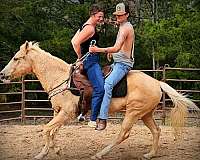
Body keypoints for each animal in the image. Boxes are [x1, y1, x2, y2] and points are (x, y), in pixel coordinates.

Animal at [0, 41, 198, 159]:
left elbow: (46, 129)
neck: (62, 79)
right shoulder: (58, 113)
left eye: (16, 58)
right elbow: (52, 131)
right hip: (145, 114)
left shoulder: (66, 113)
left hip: (133, 113)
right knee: (156, 131)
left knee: (123, 134)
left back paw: (99, 154)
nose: (2, 74)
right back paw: (149, 154)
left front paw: (44, 153)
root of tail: (157, 82)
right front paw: (53, 150)